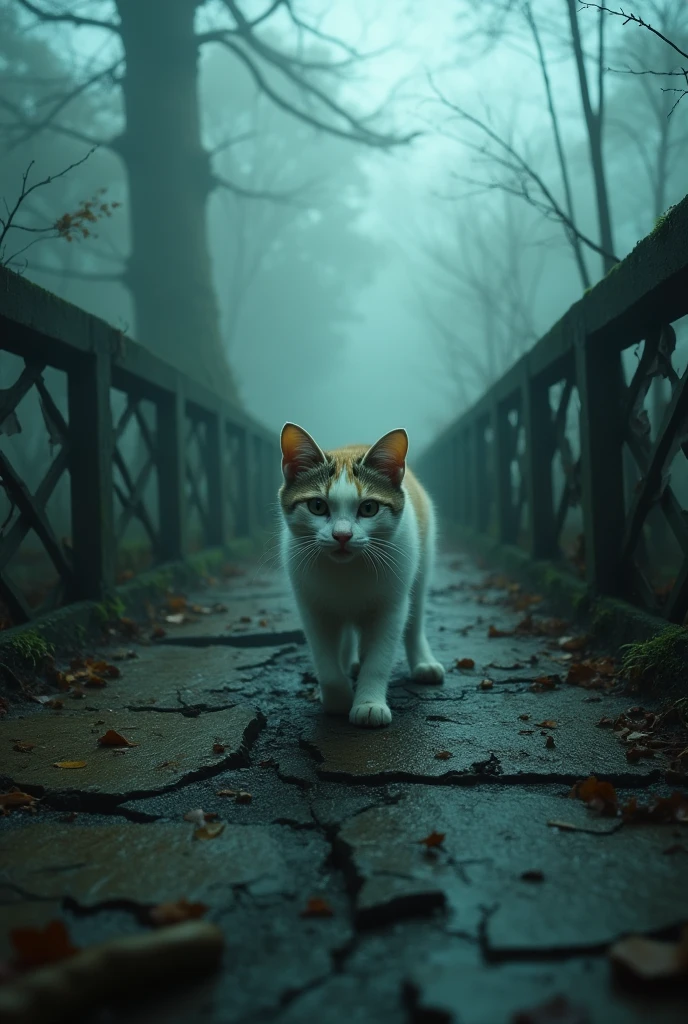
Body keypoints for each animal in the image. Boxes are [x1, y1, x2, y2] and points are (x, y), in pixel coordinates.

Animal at [276, 423, 444, 729]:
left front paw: (368, 704)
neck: (348, 570)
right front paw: (337, 698)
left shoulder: (390, 607)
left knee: (415, 620)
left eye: (368, 508)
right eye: (317, 506)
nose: (342, 536)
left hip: (421, 566)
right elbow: (325, 659)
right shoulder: (312, 606)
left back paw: (423, 663)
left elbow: (379, 658)